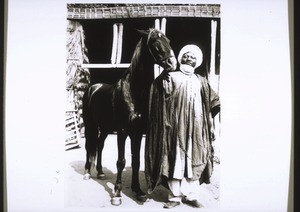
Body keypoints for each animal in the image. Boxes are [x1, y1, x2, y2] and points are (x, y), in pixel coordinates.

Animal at [82, 28, 177, 205]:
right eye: (154, 41)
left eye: (168, 39)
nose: (172, 64)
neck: (134, 91)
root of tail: (93, 87)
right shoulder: (123, 131)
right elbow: (121, 161)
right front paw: (117, 194)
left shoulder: (137, 132)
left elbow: (136, 161)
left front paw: (138, 191)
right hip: (90, 125)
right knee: (89, 146)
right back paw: (86, 172)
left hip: (105, 128)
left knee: (99, 145)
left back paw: (100, 172)